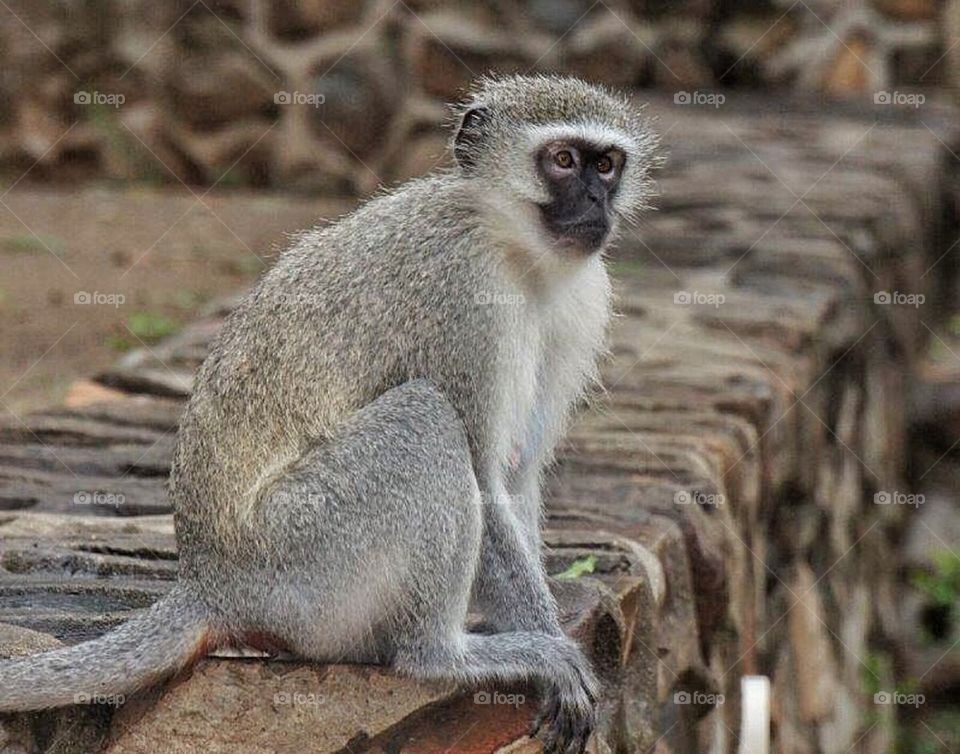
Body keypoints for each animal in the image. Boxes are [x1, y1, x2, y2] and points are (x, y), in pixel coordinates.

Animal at [0, 75, 657, 754]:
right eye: (563, 160)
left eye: (606, 165)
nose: (595, 200)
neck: (513, 248)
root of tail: (211, 582)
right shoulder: (463, 296)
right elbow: (482, 476)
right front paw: (553, 649)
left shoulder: (582, 300)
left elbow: (517, 477)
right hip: (301, 555)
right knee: (425, 417)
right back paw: (440, 655)